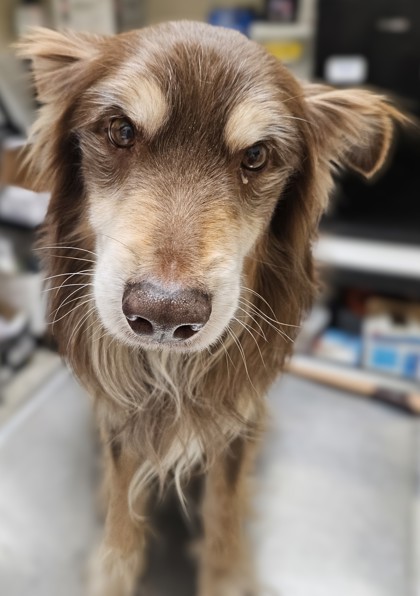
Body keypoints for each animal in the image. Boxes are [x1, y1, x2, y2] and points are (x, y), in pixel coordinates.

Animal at [17, 21, 404, 596]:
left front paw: (225, 573)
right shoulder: (120, 412)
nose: (163, 315)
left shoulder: (238, 419)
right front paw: (114, 564)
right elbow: (123, 494)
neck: (170, 373)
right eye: (121, 131)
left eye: (257, 156)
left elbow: (223, 503)